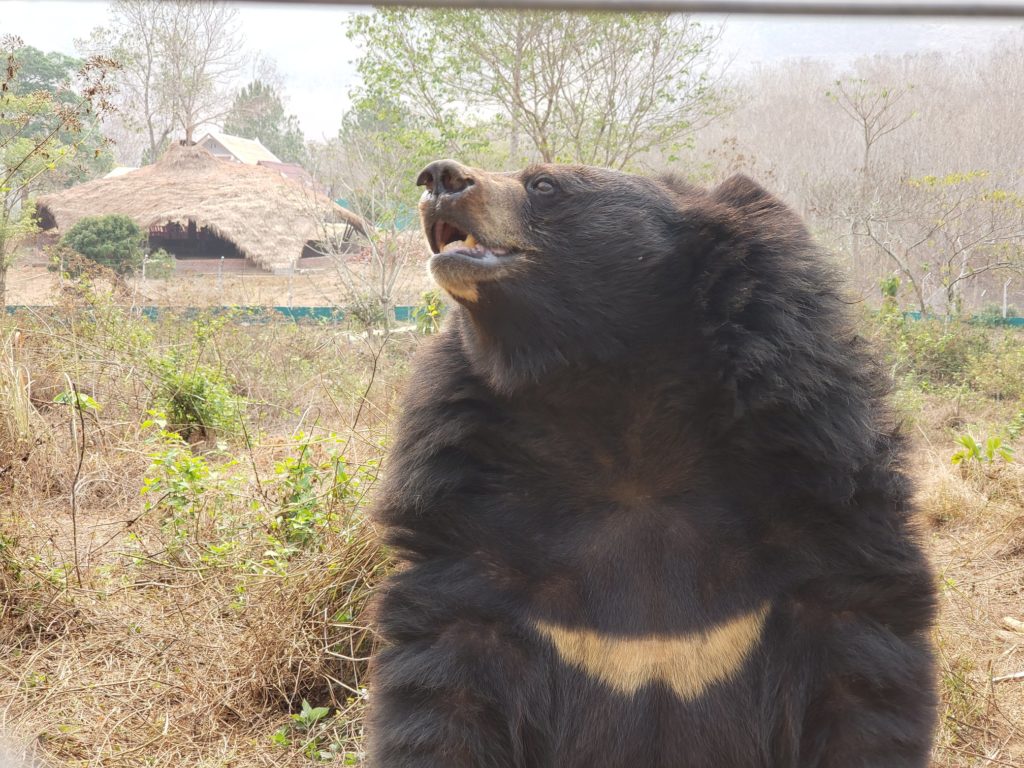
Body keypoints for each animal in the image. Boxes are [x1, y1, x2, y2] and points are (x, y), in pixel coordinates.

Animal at [366, 160, 937, 767]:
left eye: (544, 184)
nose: (438, 178)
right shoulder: (469, 525)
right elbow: (443, 690)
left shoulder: (826, 491)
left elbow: (863, 682)